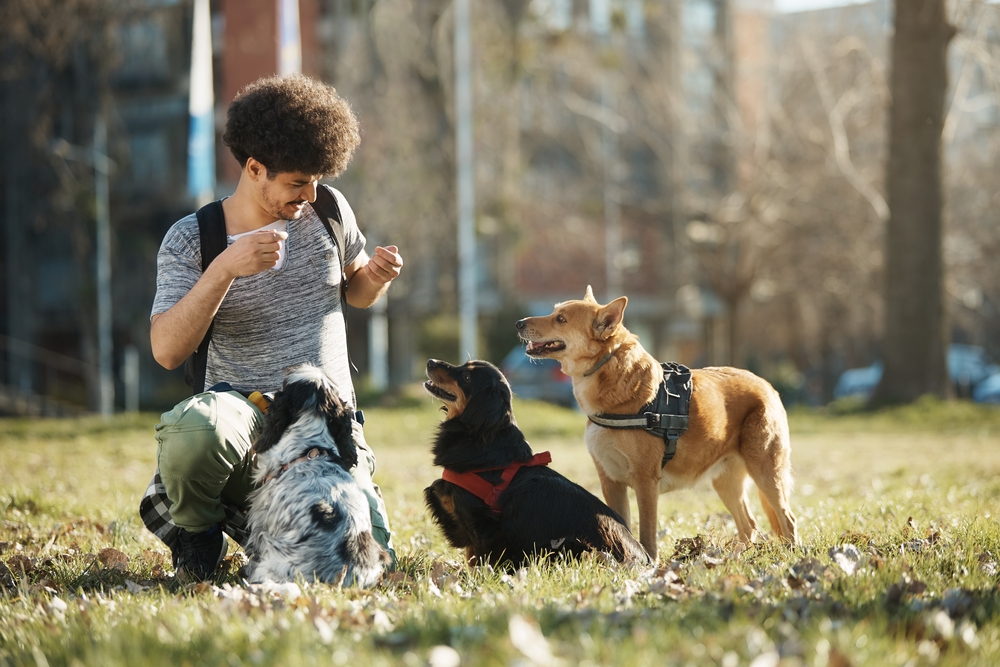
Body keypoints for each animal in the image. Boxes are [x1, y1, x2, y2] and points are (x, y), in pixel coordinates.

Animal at [420, 360, 648, 568]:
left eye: (466, 377)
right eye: (463, 365)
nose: (430, 362)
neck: (484, 441)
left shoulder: (481, 523)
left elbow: (479, 561)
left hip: (568, 543)